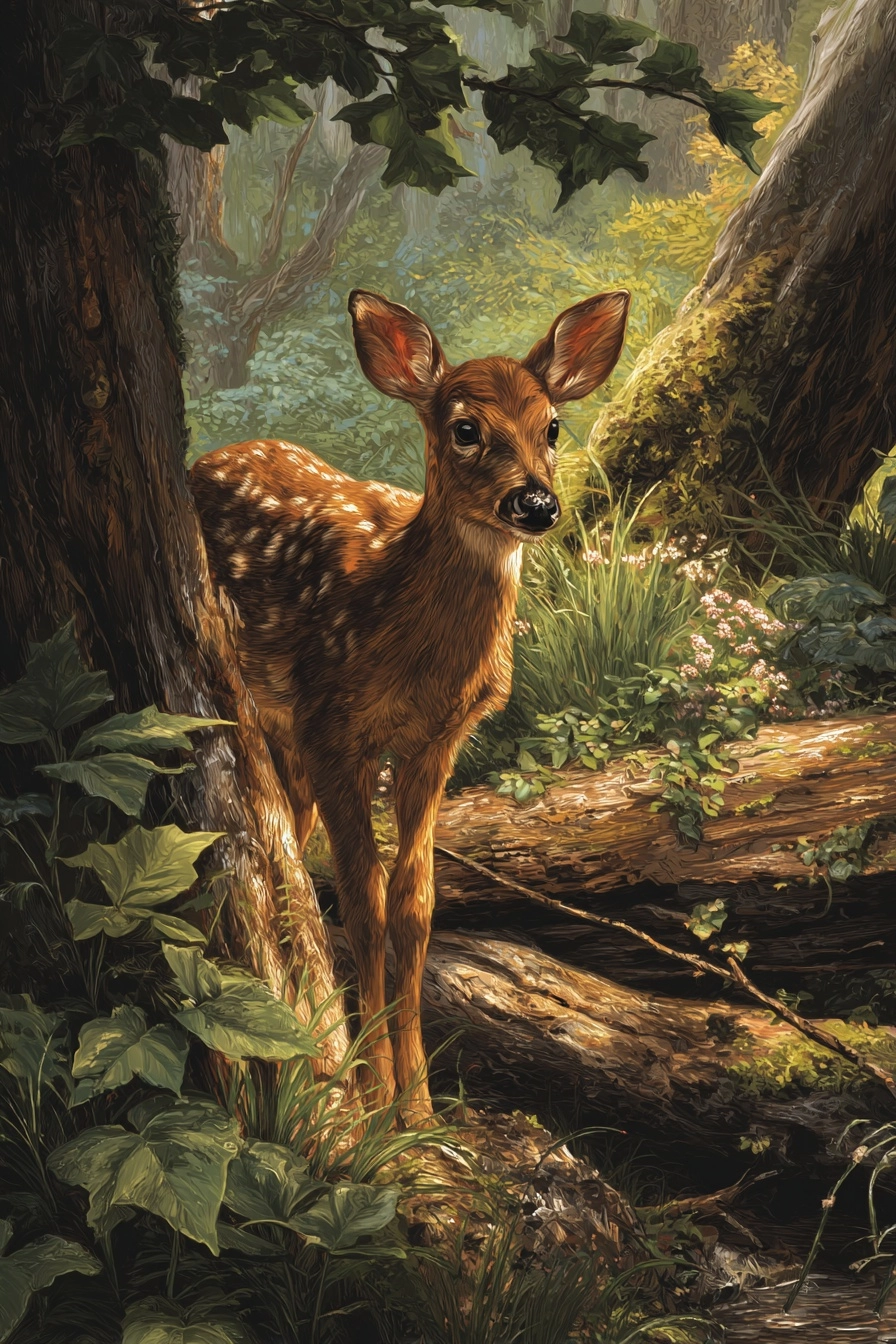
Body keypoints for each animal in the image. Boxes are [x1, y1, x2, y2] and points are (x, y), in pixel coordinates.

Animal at [190, 288, 630, 1122]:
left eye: (552, 426)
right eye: (465, 429)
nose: (536, 503)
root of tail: (207, 456)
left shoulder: (435, 742)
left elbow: (415, 902)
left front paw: (420, 1107)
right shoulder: (334, 726)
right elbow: (361, 897)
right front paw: (373, 1098)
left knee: (294, 839)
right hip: (277, 714)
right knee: (290, 851)